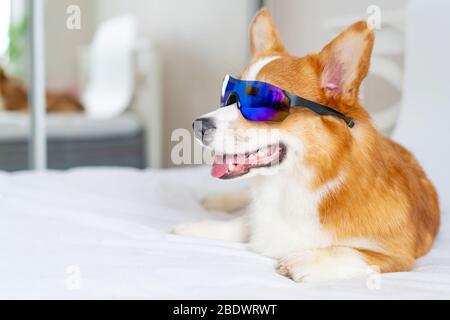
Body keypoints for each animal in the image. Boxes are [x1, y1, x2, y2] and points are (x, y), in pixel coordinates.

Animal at [172, 8, 440, 282]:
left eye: (263, 103)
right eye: (227, 97)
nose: (197, 125)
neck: (291, 185)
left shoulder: (397, 255)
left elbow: (349, 252)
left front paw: (304, 260)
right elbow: (243, 223)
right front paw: (199, 227)